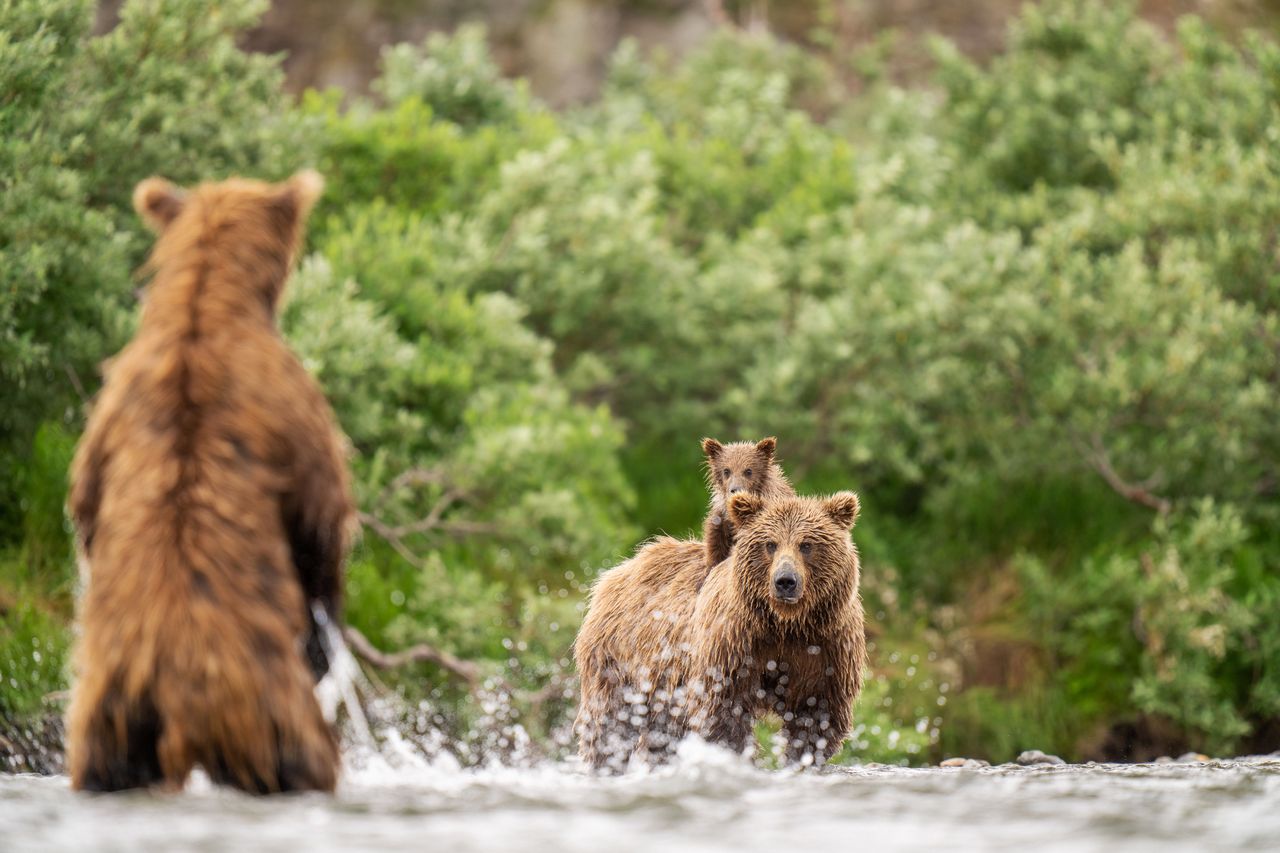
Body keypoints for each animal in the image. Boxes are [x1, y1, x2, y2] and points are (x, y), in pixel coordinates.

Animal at [67, 171, 353, 788]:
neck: (203, 304)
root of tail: (178, 697)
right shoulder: (293, 409)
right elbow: (321, 522)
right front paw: (325, 638)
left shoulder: (107, 412)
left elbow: (86, 509)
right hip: (270, 709)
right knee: (303, 758)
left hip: (112, 719)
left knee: (103, 764)